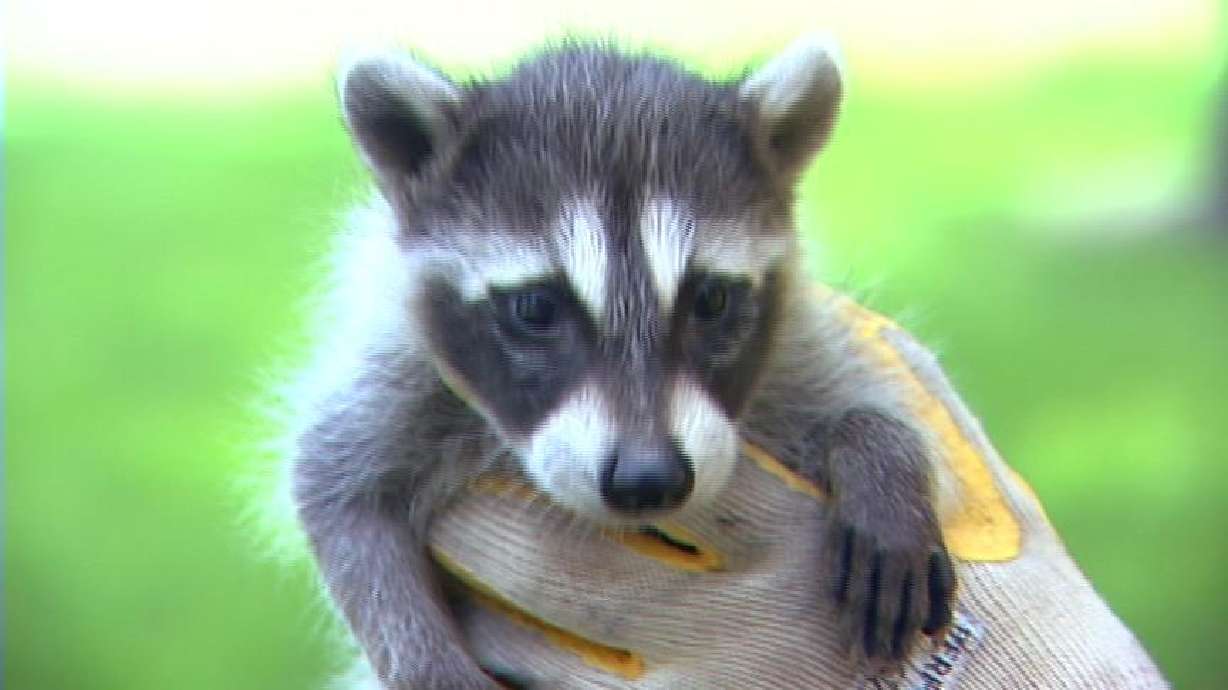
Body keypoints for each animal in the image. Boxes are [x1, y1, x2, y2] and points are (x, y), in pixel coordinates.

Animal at [288, 36, 955, 689]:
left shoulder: (790, 348)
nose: (648, 478)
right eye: (536, 307)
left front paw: (879, 452)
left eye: (710, 300)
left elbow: (861, 395)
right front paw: (427, 658)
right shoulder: (399, 369)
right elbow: (338, 490)